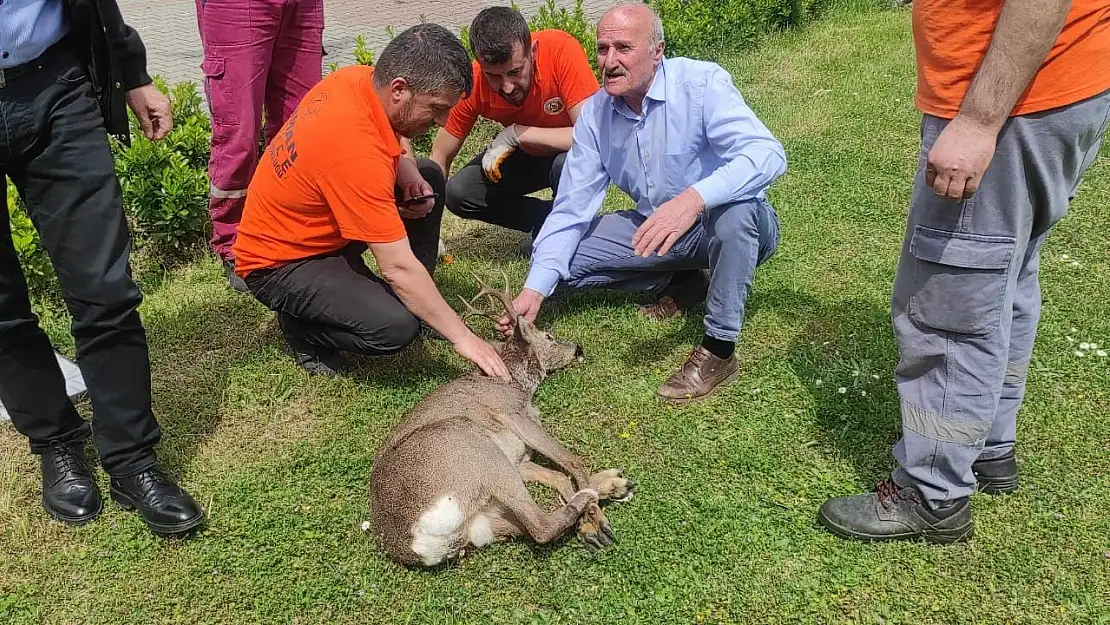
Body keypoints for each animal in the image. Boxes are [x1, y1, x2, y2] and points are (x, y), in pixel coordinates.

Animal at [370, 274, 639, 568]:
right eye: (548, 336)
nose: (578, 348)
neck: (514, 382)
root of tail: (416, 546)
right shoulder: (511, 413)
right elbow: (571, 461)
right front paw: (596, 518)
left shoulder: (519, 459)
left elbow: (559, 477)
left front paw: (592, 517)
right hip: (469, 441)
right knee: (540, 527)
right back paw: (593, 497)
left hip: (485, 518)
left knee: (526, 525)